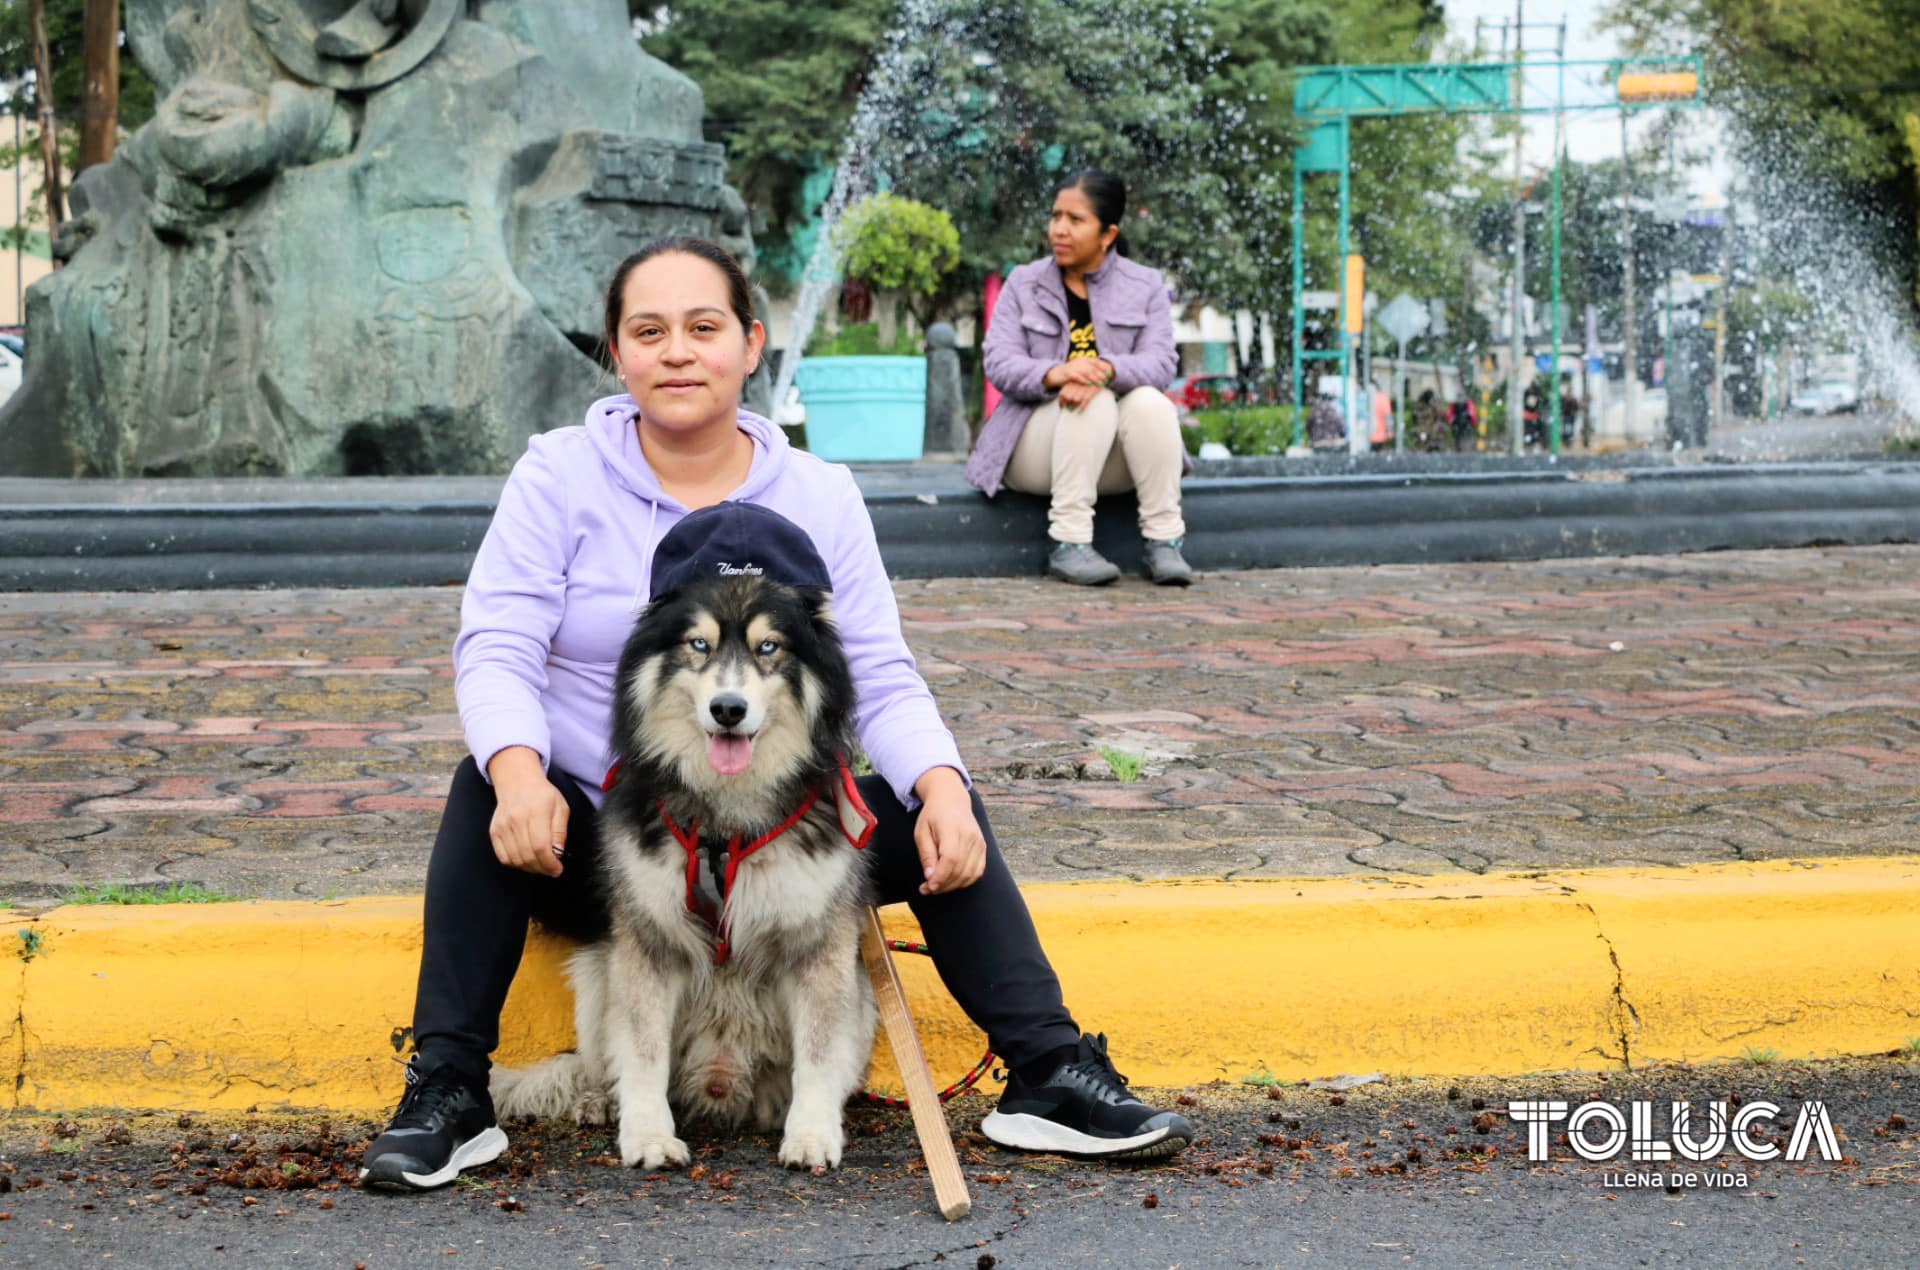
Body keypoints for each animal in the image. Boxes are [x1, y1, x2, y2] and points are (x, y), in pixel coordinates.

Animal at [495, 564, 883, 1168]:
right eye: (699, 644)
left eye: (769, 647)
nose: (728, 709)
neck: (727, 818)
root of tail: (719, 1085)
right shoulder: (649, 942)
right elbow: (643, 1051)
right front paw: (650, 1137)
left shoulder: (820, 946)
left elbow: (819, 1054)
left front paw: (812, 1135)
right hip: (597, 973)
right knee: (600, 1063)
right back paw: (596, 1099)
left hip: (862, 1003)